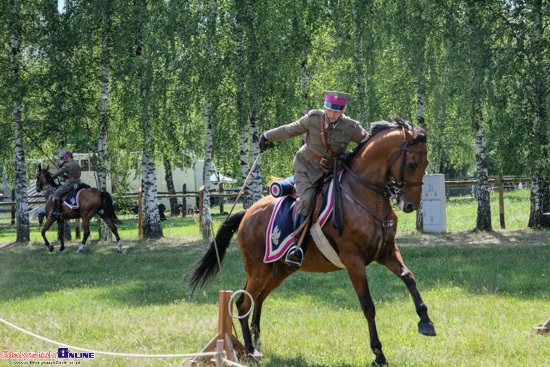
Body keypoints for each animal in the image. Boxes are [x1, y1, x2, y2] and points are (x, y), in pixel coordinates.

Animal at [190, 118, 436, 367]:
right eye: (412, 164)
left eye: (426, 163)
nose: (411, 205)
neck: (364, 196)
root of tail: (247, 212)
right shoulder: (354, 260)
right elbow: (368, 305)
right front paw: (378, 352)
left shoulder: (386, 252)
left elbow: (409, 277)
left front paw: (425, 321)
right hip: (258, 269)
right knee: (243, 303)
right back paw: (249, 349)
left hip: (280, 269)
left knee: (258, 299)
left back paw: (256, 341)